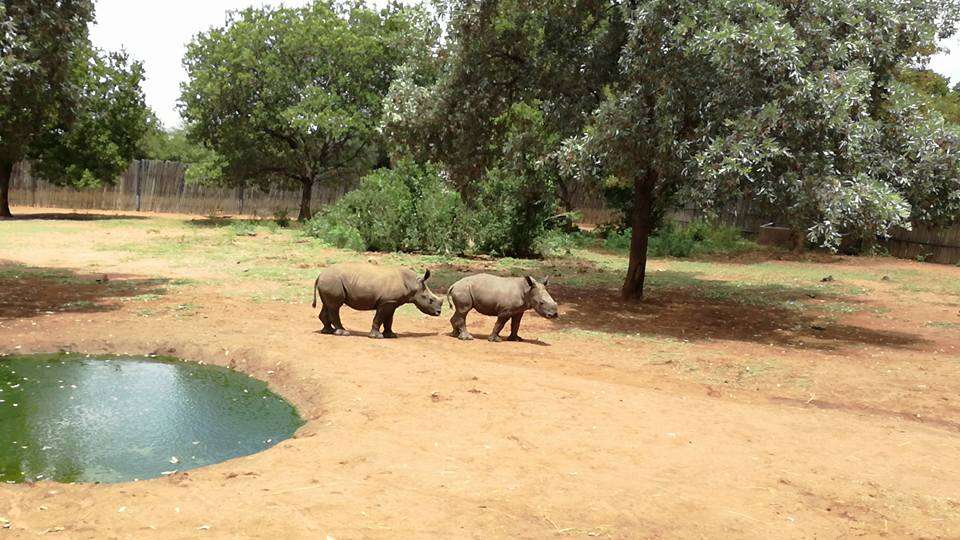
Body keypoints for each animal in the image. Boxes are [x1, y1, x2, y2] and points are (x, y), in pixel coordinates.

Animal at [314, 262, 444, 338]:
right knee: (335, 306)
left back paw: (328, 331)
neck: (413, 284)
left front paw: (391, 335)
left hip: (329, 281)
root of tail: (320, 275)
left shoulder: (392, 302)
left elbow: (389, 319)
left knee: (328, 304)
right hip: (332, 280)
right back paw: (343, 333)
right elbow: (379, 318)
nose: (438, 312)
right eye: (430, 300)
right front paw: (376, 336)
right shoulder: (387, 302)